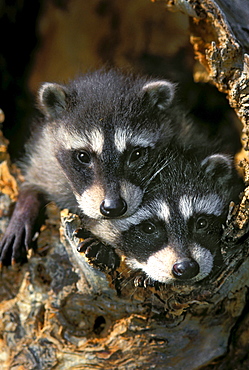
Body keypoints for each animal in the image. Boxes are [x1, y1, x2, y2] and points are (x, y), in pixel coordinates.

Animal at [0, 69, 195, 266]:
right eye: (83, 156)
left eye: (136, 154)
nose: (113, 207)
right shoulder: (45, 154)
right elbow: (35, 178)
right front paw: (25, 206)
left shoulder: (184, 133)